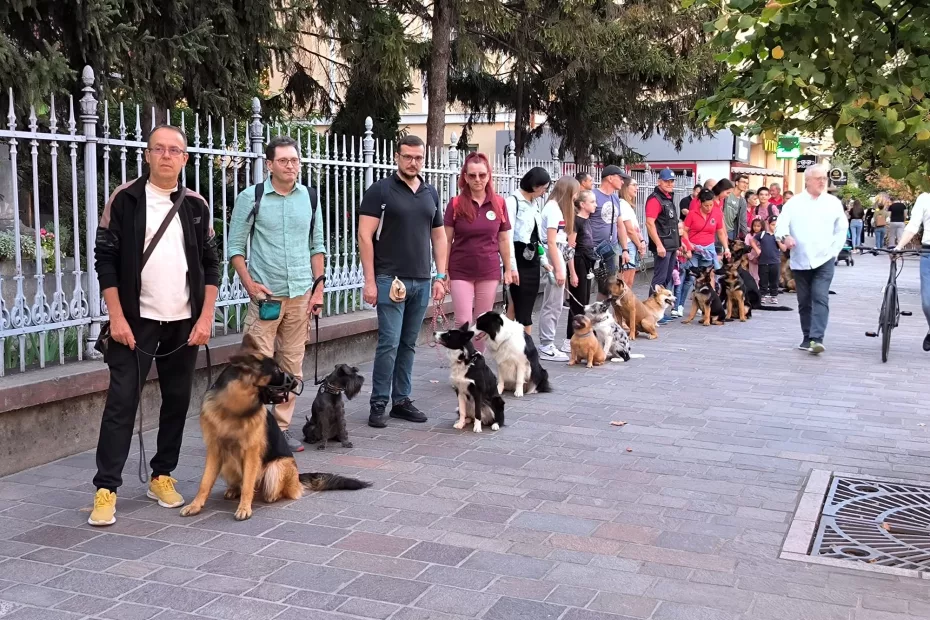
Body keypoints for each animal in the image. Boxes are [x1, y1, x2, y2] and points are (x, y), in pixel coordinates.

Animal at [179, 334, 368, 524]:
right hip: (227, 463)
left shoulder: (251, 453)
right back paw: (233, 490)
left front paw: (244, 508)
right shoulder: (215, 451)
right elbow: (205, 483)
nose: (296, 382)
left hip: (276, 467)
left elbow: (248, 483)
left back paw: (266, 496)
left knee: (268, 488)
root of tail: (297, 477)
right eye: (277, 370)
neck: (233, 408)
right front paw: (195, 505)